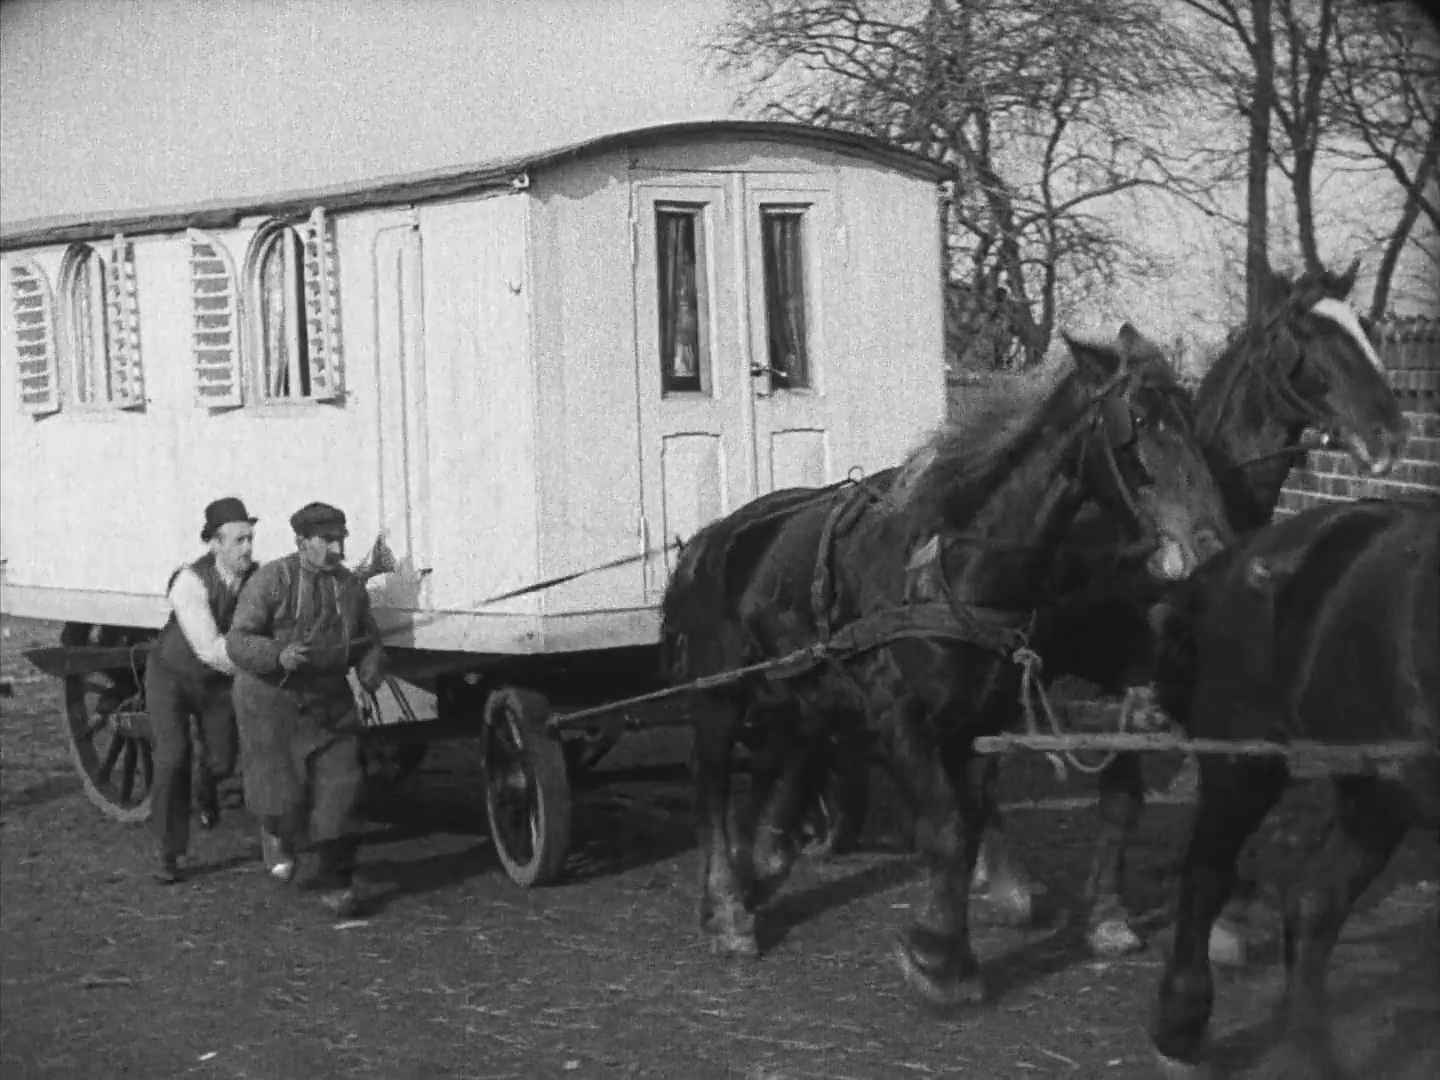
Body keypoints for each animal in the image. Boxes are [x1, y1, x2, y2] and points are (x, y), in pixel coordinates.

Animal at [660, 329, 1232, 1006]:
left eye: (1189, 418)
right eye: (1136, 426)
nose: (1212, 544)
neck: (950, 568)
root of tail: (715, 537)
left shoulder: (978, 719)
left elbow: (970, 820)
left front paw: (956, 940)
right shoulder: (899, 715)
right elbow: (948, 827)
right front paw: (939, 961)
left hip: (805, 694)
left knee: (786, 765)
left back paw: (764, 867)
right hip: (721, 694)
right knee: (712, 787)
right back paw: (727, 907)